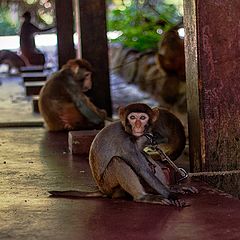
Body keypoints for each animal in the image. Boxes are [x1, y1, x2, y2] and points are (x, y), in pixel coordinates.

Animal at [49, 102, 197, 206]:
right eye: (132, 117)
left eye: (142, 118)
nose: (137, 126)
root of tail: (102, 190)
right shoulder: (125, 143)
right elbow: (143, 170)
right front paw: (171, 195)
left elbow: (143, 157)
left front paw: (172, 189)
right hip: (110, 187)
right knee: (117, 161)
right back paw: (142, 197)